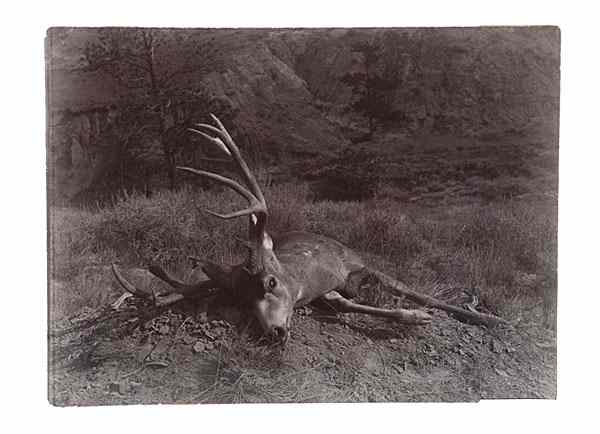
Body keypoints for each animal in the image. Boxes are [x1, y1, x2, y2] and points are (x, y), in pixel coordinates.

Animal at [112, 113, 506, 344]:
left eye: (270, 282)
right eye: (239, 301)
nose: (274, 331)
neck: (311, 278)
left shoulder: (356, 264)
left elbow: (419, 294)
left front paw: (485, 318)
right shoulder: (326, 293)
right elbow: (349, 306)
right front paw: (416, 318)